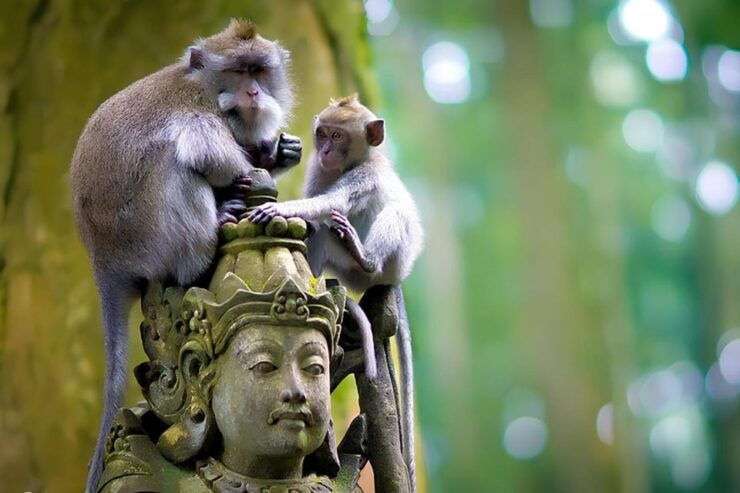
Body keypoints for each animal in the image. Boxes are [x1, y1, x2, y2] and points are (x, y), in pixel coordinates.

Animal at [69, 20, 300, 493]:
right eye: (238, 71)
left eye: (259, 70)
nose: (253, 92)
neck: (206, 89)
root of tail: (101, 255)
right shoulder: (199, 111)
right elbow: (210, 154)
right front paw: (256, 163)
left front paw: (276, 152)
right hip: (146, 232)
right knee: (174, 163)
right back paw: (209, 240)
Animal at [247, 94, 423, 491]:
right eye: (323, 134)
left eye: (338, 136)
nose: (326, 149)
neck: (350, 163)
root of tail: (393, 279)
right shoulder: (319, 171)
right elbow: (317, 208)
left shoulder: (366, 174)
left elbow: (335, 201)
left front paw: (278, 208)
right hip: (345, 269)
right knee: (323, 231)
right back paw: (313, 282)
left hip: (396, 259)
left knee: (394, 213)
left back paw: (366, 257)